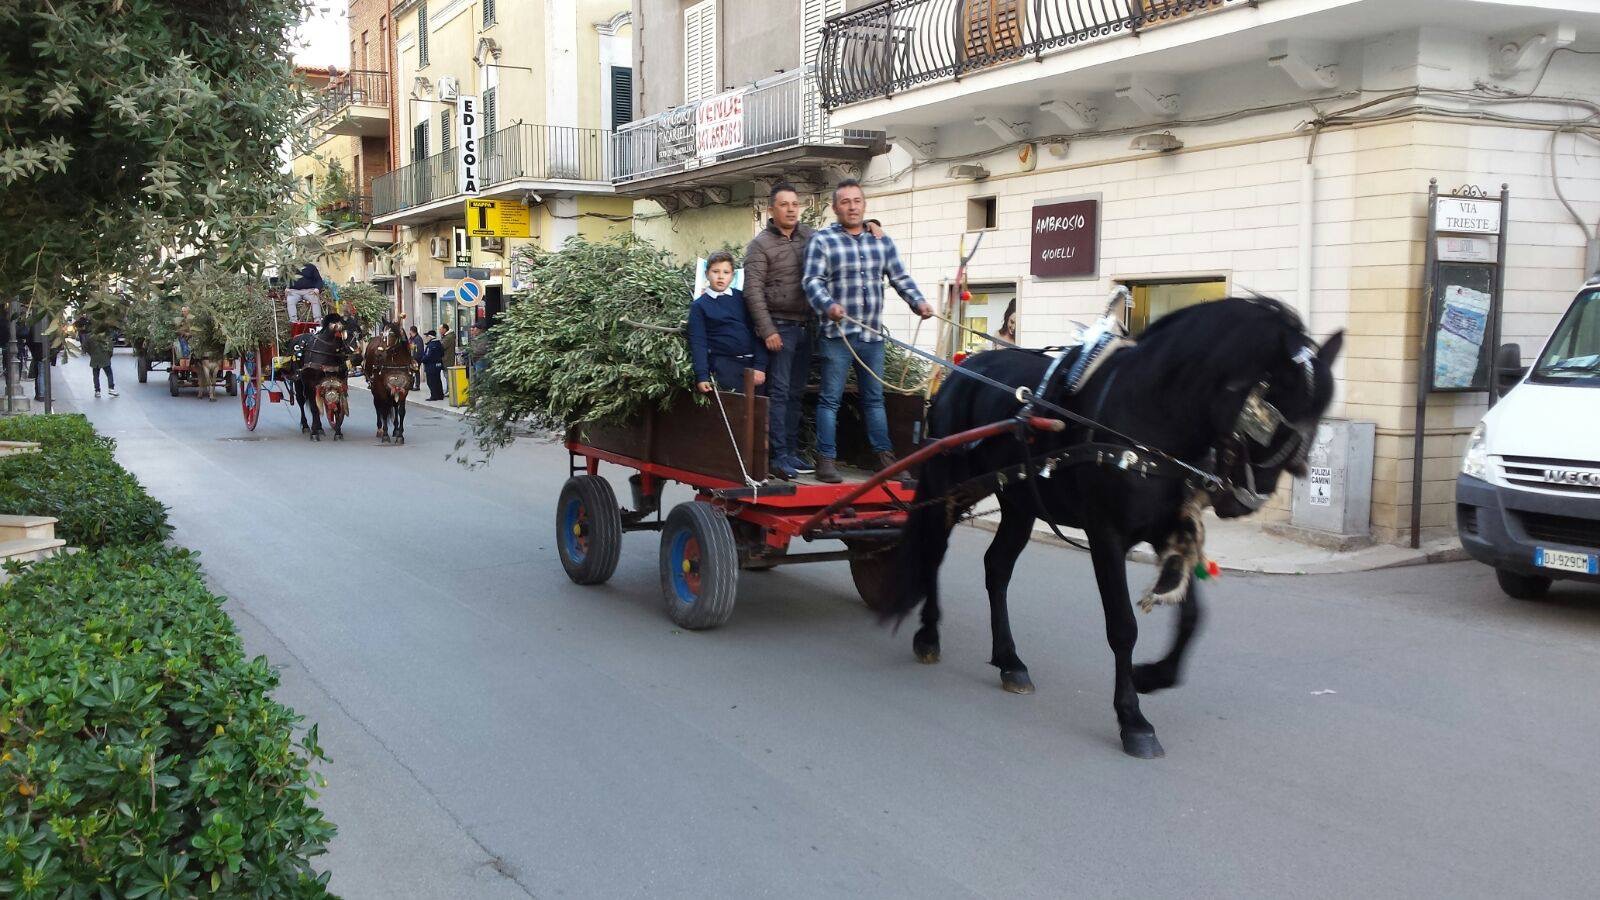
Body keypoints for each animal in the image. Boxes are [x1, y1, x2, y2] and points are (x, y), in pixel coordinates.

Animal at [896, 297, 1344, 752]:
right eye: (1271, 413)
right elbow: (1123, 626)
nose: (1245, 500)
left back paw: (1009, 659)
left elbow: (1192, 616)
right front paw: (1132, 718)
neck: (1151, 416)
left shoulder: (1168, 529)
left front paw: (1152, 676)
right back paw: (929, 633)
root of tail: (960, 370)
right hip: (951, 486)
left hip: (1019, 503)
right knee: (935, 548)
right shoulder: (1106, 535)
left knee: (997, 567)